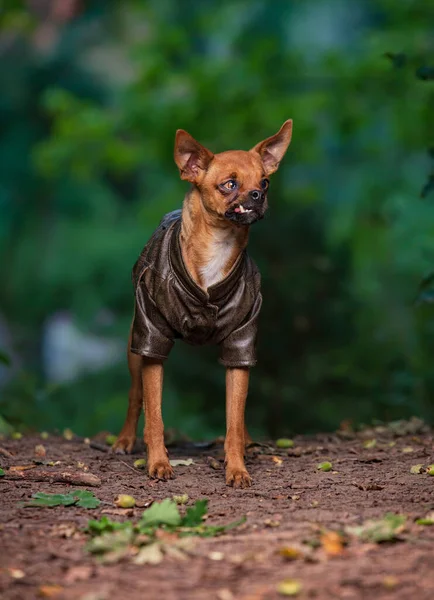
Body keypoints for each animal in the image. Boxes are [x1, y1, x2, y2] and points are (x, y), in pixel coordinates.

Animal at [113, 120, 294, 488]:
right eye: (229, 184)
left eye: (265, 182)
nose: (258, 195)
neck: (217, 248)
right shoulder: (153, 343)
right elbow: (155, 415)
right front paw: (158, 462)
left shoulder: (240, 347)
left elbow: (234, 417)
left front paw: (236, 467)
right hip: (135, 348)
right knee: (136, 396)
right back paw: (125, 440)